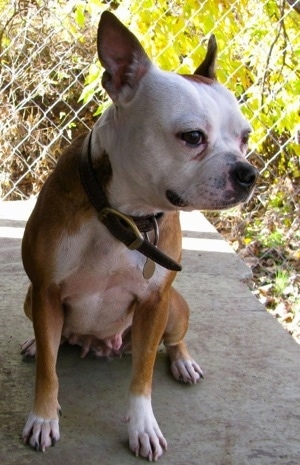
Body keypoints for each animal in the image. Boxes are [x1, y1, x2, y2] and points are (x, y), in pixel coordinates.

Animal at [21, 10, 256, 460]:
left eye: (245, 137)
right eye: (192, 137)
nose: (248, 172)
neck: (124, 216)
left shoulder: (153, 302)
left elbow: (143, 375)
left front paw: (142, 427)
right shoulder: (44, 292)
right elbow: (48, 371)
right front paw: (43, 416)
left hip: (175, 308)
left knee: (173, 341)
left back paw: (183, 362)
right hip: (30, 301)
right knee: (52, 343)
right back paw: (39, 344)